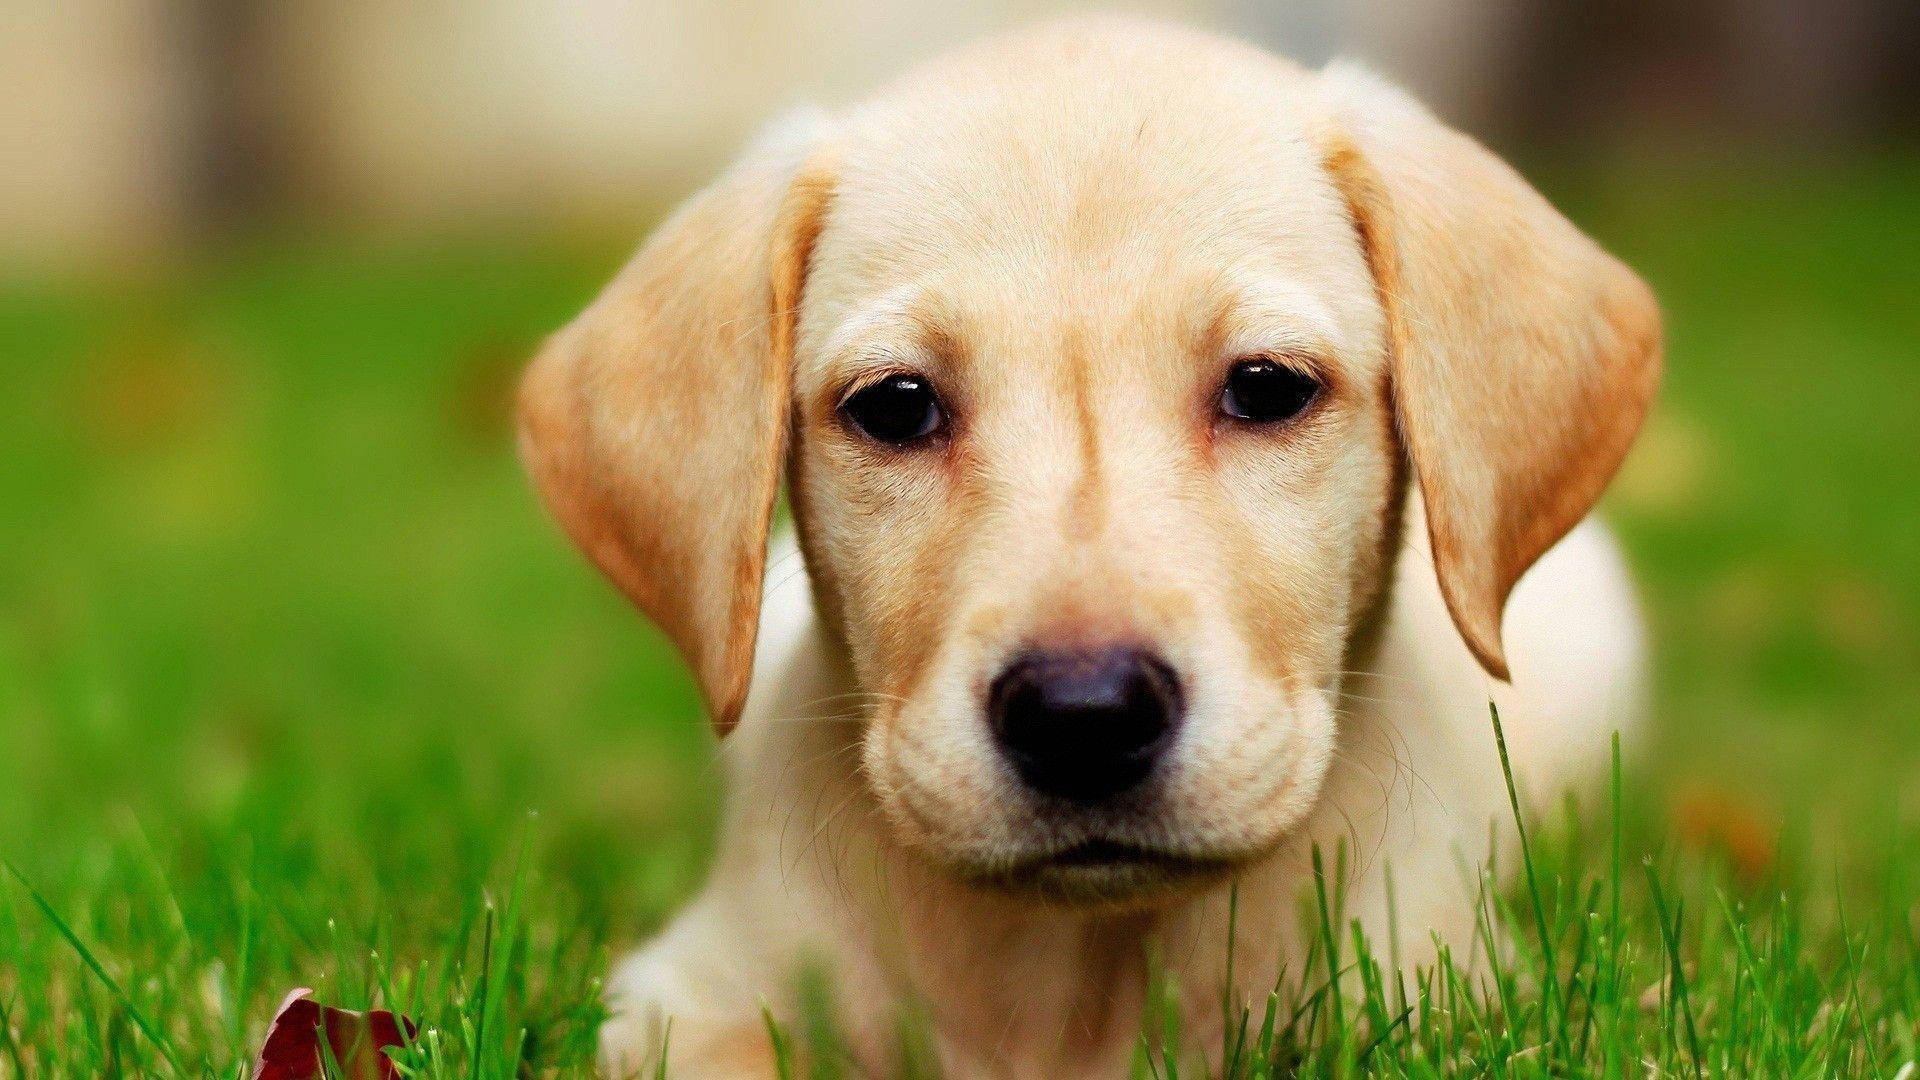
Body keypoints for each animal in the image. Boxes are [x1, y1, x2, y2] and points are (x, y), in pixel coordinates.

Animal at [518, 16, 1658, 1076]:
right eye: (895, 406)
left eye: (1267, 388)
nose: (1083, 717)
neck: (1075, 978)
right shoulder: (684, 999)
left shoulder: (1437, 984)